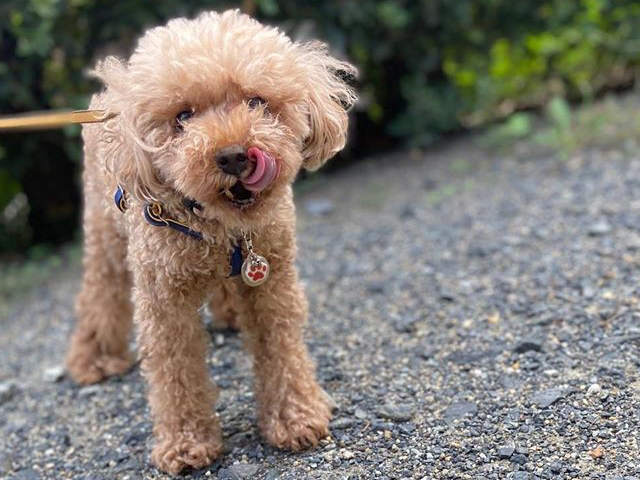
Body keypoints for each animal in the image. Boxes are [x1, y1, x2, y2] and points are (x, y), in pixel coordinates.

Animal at [65, 9, 358, 474]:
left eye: (256, 102)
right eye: (183, 117)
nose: (235, 154)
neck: (222, 229)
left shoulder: (272, 278)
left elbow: (280, 346)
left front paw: (296, 418)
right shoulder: (164, 301)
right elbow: (176, 370)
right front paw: (187, 444)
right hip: (105, 232)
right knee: (101, 292)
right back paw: (94, 360)